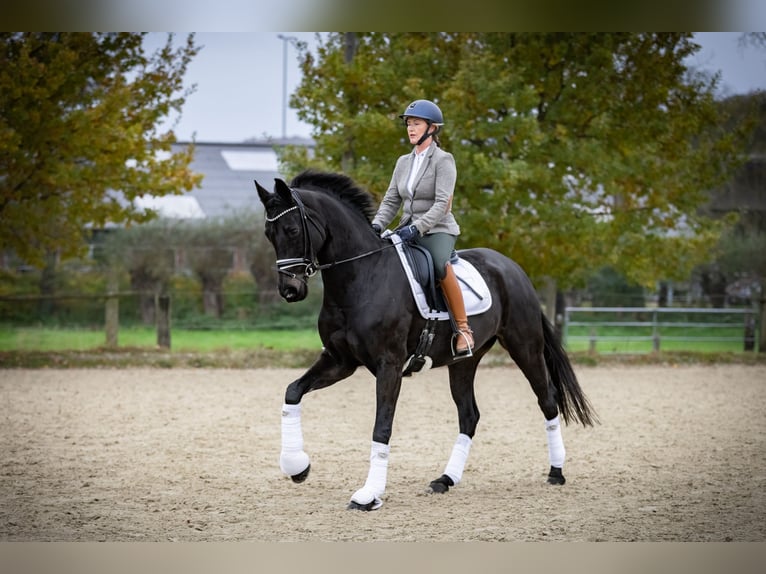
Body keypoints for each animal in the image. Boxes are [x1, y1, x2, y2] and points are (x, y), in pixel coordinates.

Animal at [258, 170, 600, 512]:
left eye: (291, 229)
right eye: (268, 234)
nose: (290, 291)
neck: (361, 276)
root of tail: (514, 269)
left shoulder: (389, 365)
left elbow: (382, 426)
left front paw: (369, 494)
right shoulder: (339, 360)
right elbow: (293, 392)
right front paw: (297, 467)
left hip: (525, 347)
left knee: (547, 400)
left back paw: (556, 472)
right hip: (464, 361)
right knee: (469, 415)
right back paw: (445, 480)